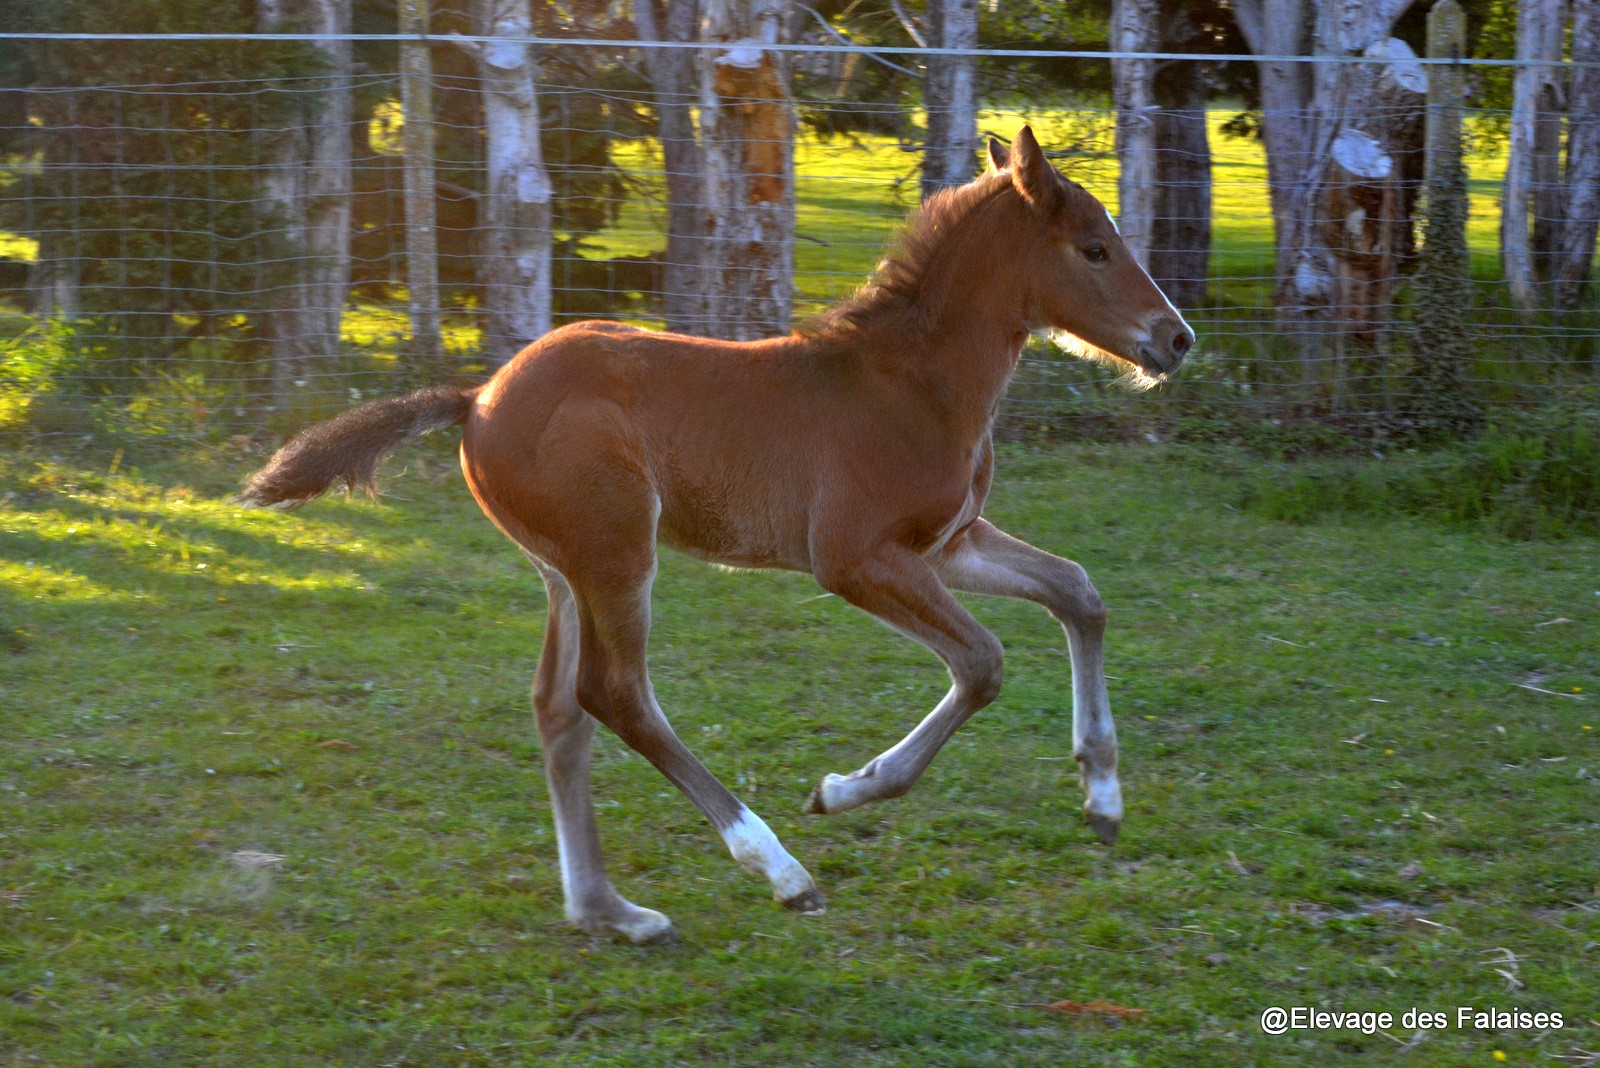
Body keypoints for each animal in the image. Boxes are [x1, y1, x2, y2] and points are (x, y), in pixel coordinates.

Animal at [236, 127, 1190, 940]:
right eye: (1094, 247)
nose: (1176, 338)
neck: (908, 384)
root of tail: (476, 398)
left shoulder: (945, 544)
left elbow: (1078, 591)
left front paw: (1103, 795)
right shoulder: (854, 558)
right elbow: (983, 663)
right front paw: (848, 787)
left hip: (565, 570)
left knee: (559, 707)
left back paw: (609, 911)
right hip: (617, 551)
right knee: (615, 695)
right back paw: (777, 868)